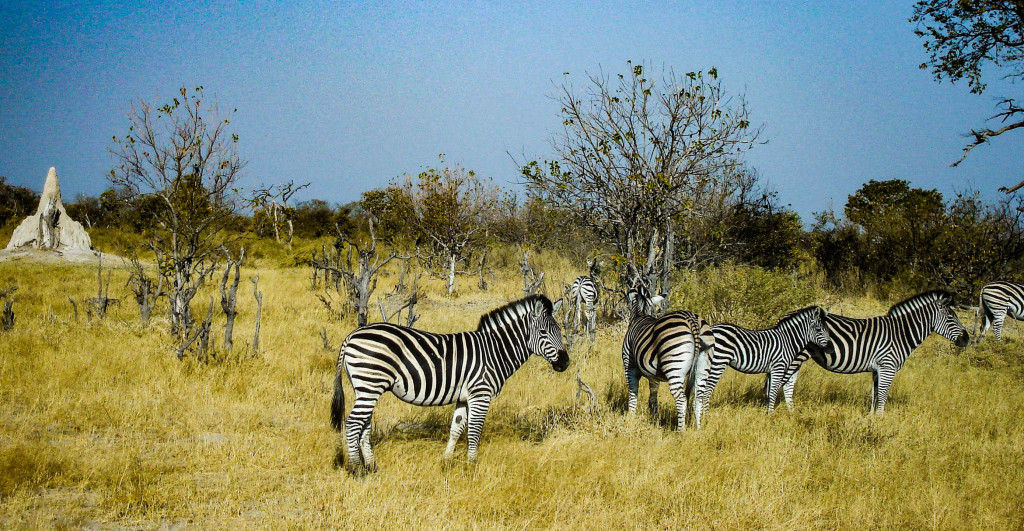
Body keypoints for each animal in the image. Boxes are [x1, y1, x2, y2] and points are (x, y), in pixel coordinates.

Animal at [333, 294, 573, 474]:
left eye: (560, 331)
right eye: (543, 332)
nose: (565, 363)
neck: (495, 351)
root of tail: (352, 335)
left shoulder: (464, 397)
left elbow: (456, 428)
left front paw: (446, 462)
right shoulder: (480, 394)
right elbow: (474, 431)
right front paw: (471, 467)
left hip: (366, 388)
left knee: (363, 424)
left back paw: (372, 466)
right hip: (370, 384)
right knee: (353, 423)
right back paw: (356, 469)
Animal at [618, 284, 716, 429]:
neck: (639, 315)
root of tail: (691, 319)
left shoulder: (629, 366)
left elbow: (633, 393)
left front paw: (630, 418)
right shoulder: (654, 377)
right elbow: (653, 398)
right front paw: (654, 419)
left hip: (674, 366)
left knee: (681, 400)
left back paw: (680, 431)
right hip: (703, 365)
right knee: (698, 398)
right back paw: (698, 429)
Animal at [696, 304, 831, 421]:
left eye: (827, 329)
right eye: (818, 329)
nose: (830, 348)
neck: (788, 341)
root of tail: (711, 329)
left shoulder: (771, 370)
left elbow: (768, 394)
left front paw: (767, 415)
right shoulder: (778, 367)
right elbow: (773, 393)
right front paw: (771, 417)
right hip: (718, 362)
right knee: (707, 391)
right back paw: (706, 417)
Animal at [782, 290, 966, 415]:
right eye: (951, 318)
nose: (967, 339)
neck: (900, 333)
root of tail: (786, 315)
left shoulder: (877, 369)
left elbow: (875, 394)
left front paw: (871, 419)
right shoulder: (887, 367)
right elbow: (883, 395)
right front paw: (881, 420)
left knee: (788, 383)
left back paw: (792, 412)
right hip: (795, 358)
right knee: (783, 382)